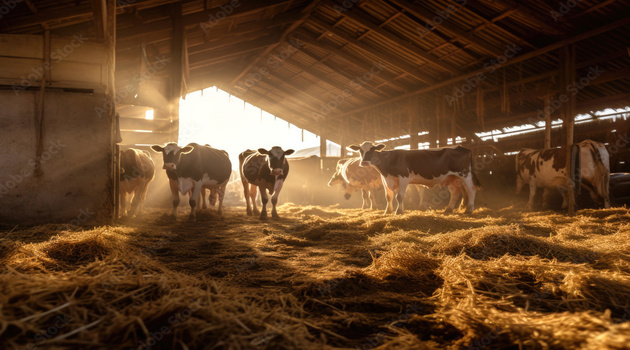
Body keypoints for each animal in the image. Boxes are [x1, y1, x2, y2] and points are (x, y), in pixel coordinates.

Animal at [348, 142, 482, 213]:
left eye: (372, 150)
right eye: (360, 151)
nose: (364, 162)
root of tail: (463, 147)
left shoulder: (403, 178)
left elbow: (399, 196)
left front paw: (399, 211)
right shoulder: (385, 179)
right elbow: (388, 196)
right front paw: (388, 211)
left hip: (465, 174)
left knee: (471, 190)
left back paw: (469, 210)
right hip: (451, 177)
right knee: (455, 192)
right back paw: (448, 210)